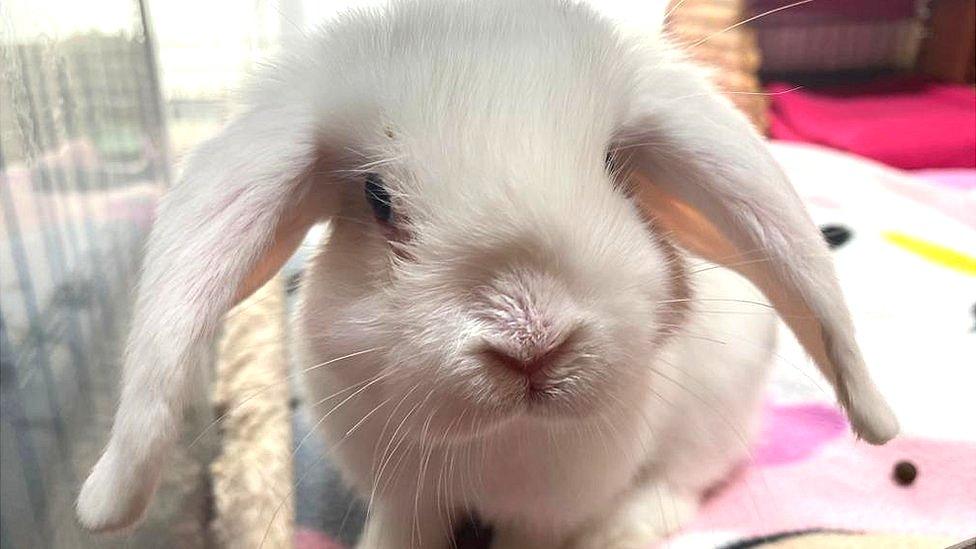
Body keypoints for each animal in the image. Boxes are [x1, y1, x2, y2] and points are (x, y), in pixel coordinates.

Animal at [76, 2, 900, 544]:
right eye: (377, 197)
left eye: (613, 168)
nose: (531, 343)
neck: (500, 441)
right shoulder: (404, 497)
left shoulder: (549, 509)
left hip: (718, 410)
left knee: (687, 481)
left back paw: (625, 528)